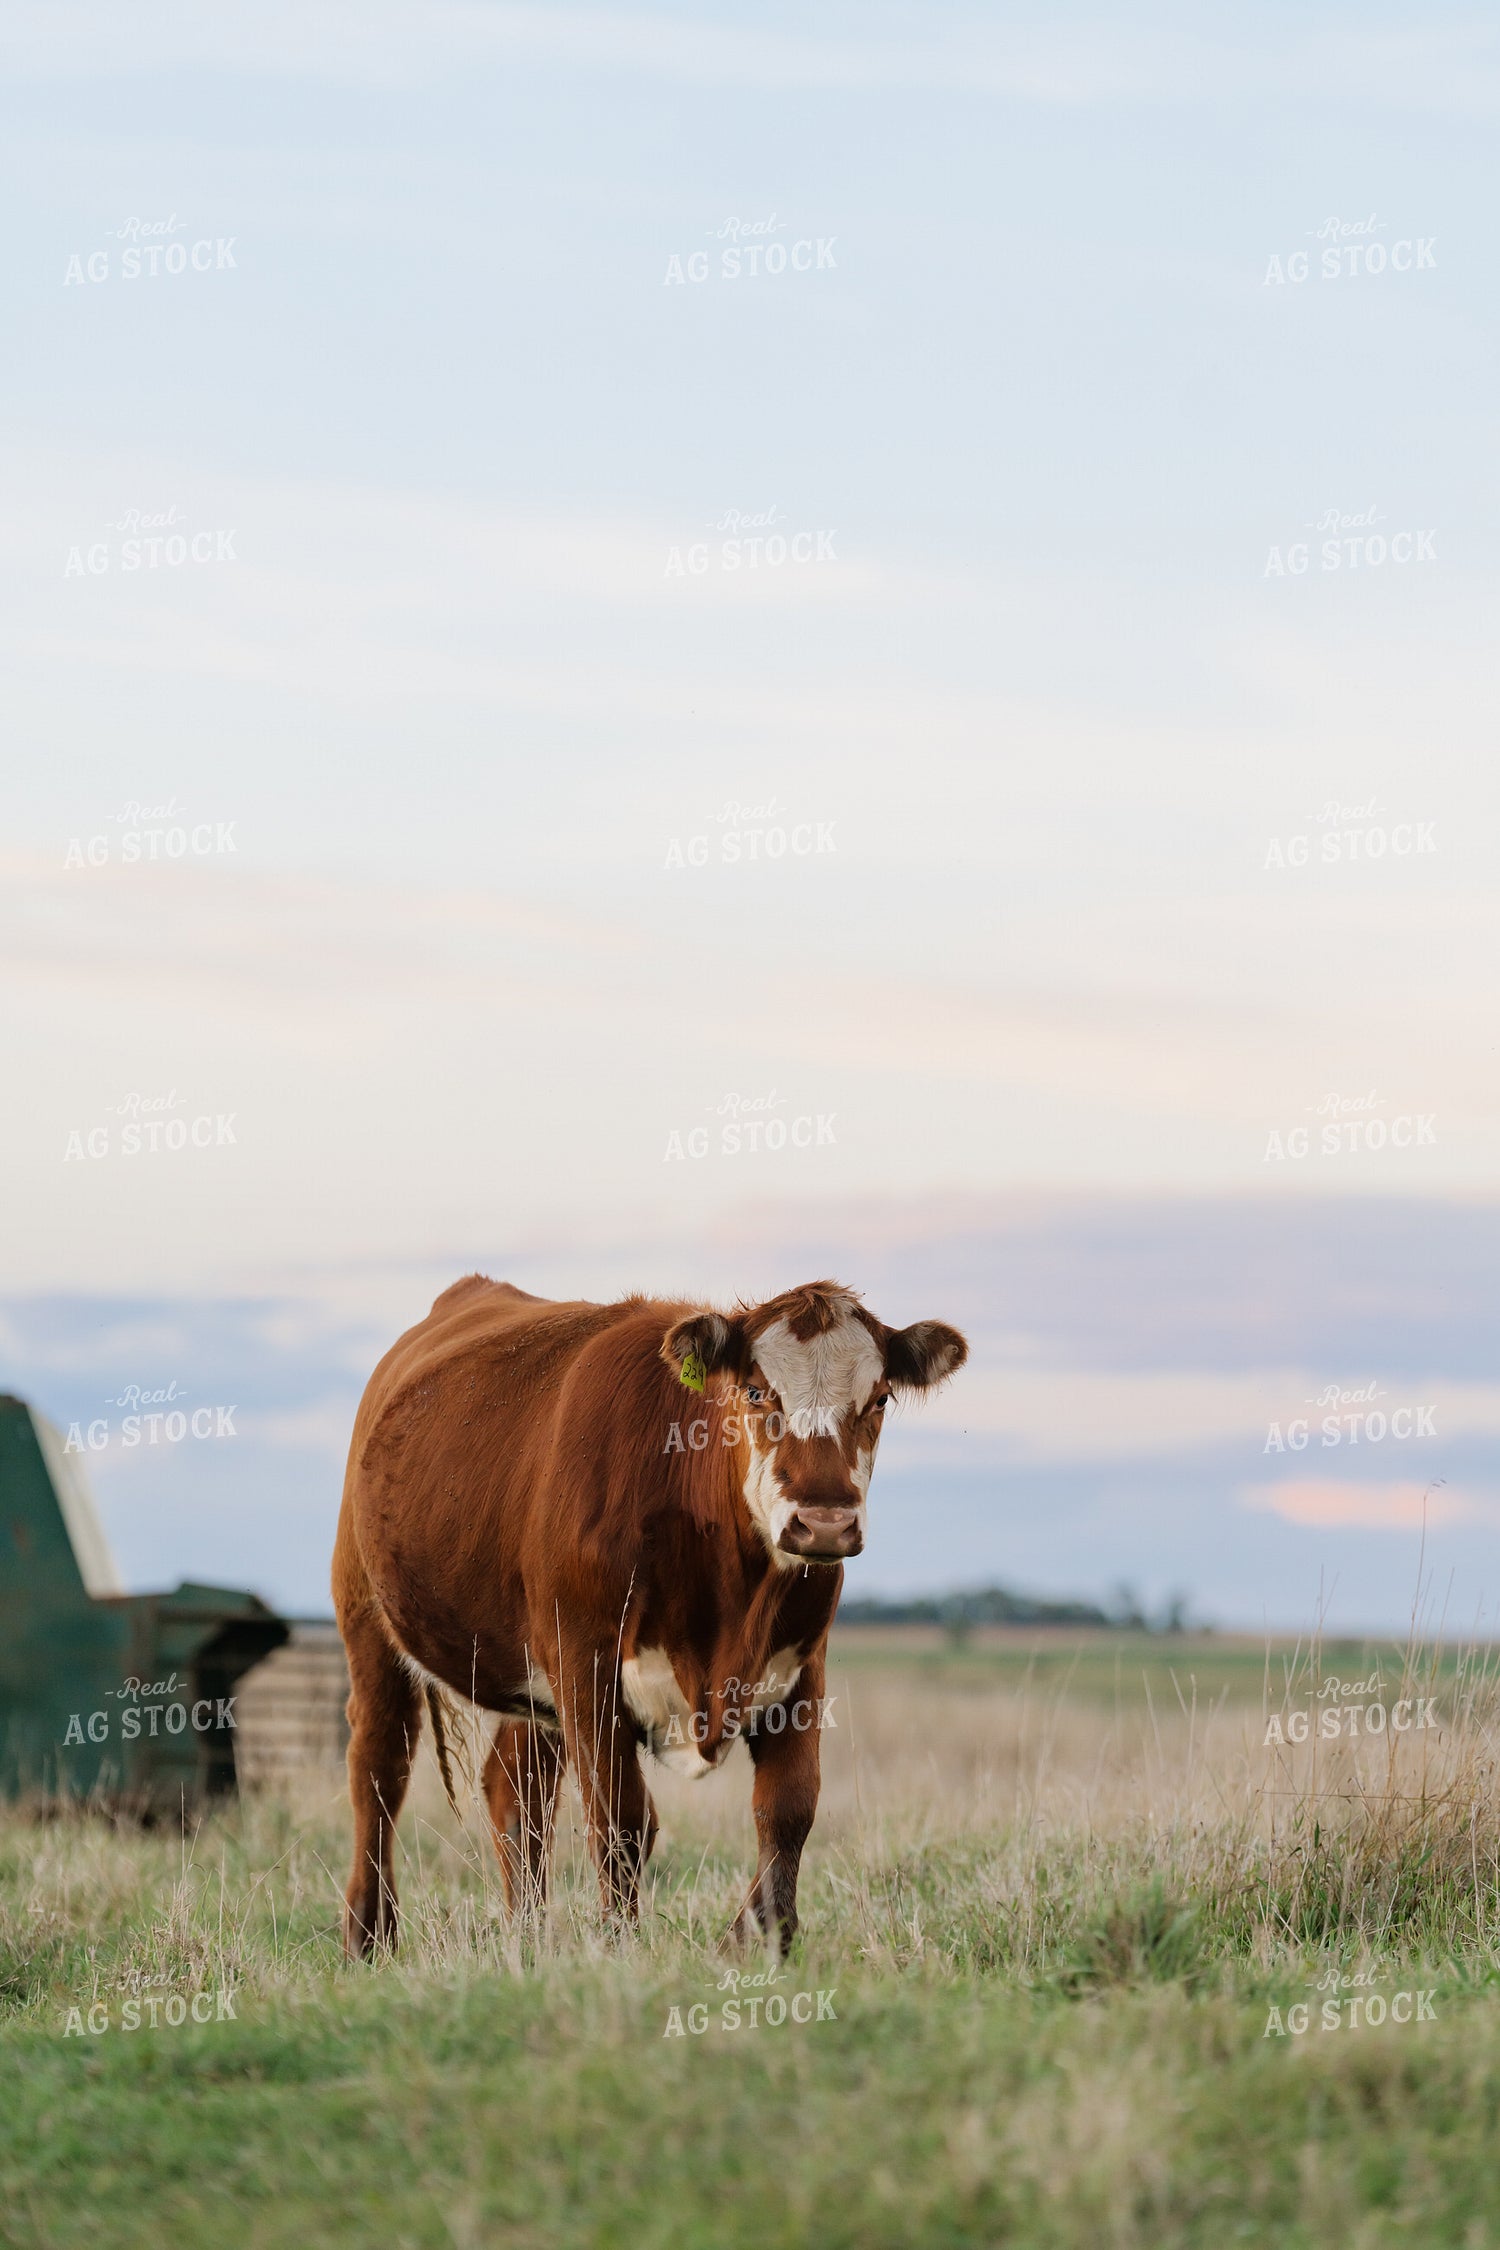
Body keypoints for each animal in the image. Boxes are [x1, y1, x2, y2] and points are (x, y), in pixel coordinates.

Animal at [333, 1275, 967, 1959]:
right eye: (755, 1391)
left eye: (879, 1399)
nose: (824, 1522)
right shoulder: (585, 1668)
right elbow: (623, 1822)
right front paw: (621, 1950)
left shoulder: (802, 1671)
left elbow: (789, 1810)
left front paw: (759, 1939)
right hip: (370, 1622)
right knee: (379, 1771)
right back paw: (369, 1935)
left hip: (530, 1678)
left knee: (515, 1789)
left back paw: (529, 1937)